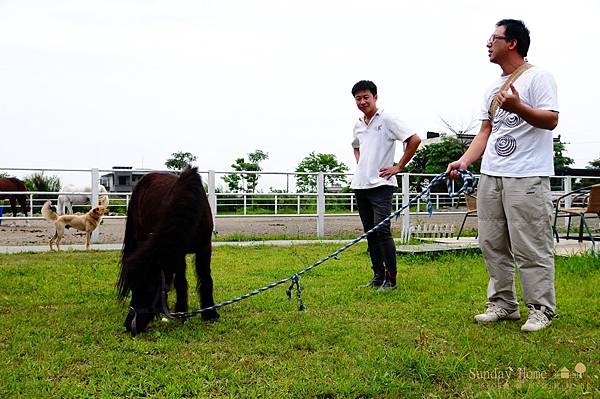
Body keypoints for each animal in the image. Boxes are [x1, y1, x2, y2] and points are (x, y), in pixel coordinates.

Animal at [116, 167, 218, 336]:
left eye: (148, 289)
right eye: (133, 289)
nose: (129, 325)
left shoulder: (204, 248)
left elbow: (206, 278)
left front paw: (210, 314)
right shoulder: (178, 253)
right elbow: (181, 282)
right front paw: (181, 312)